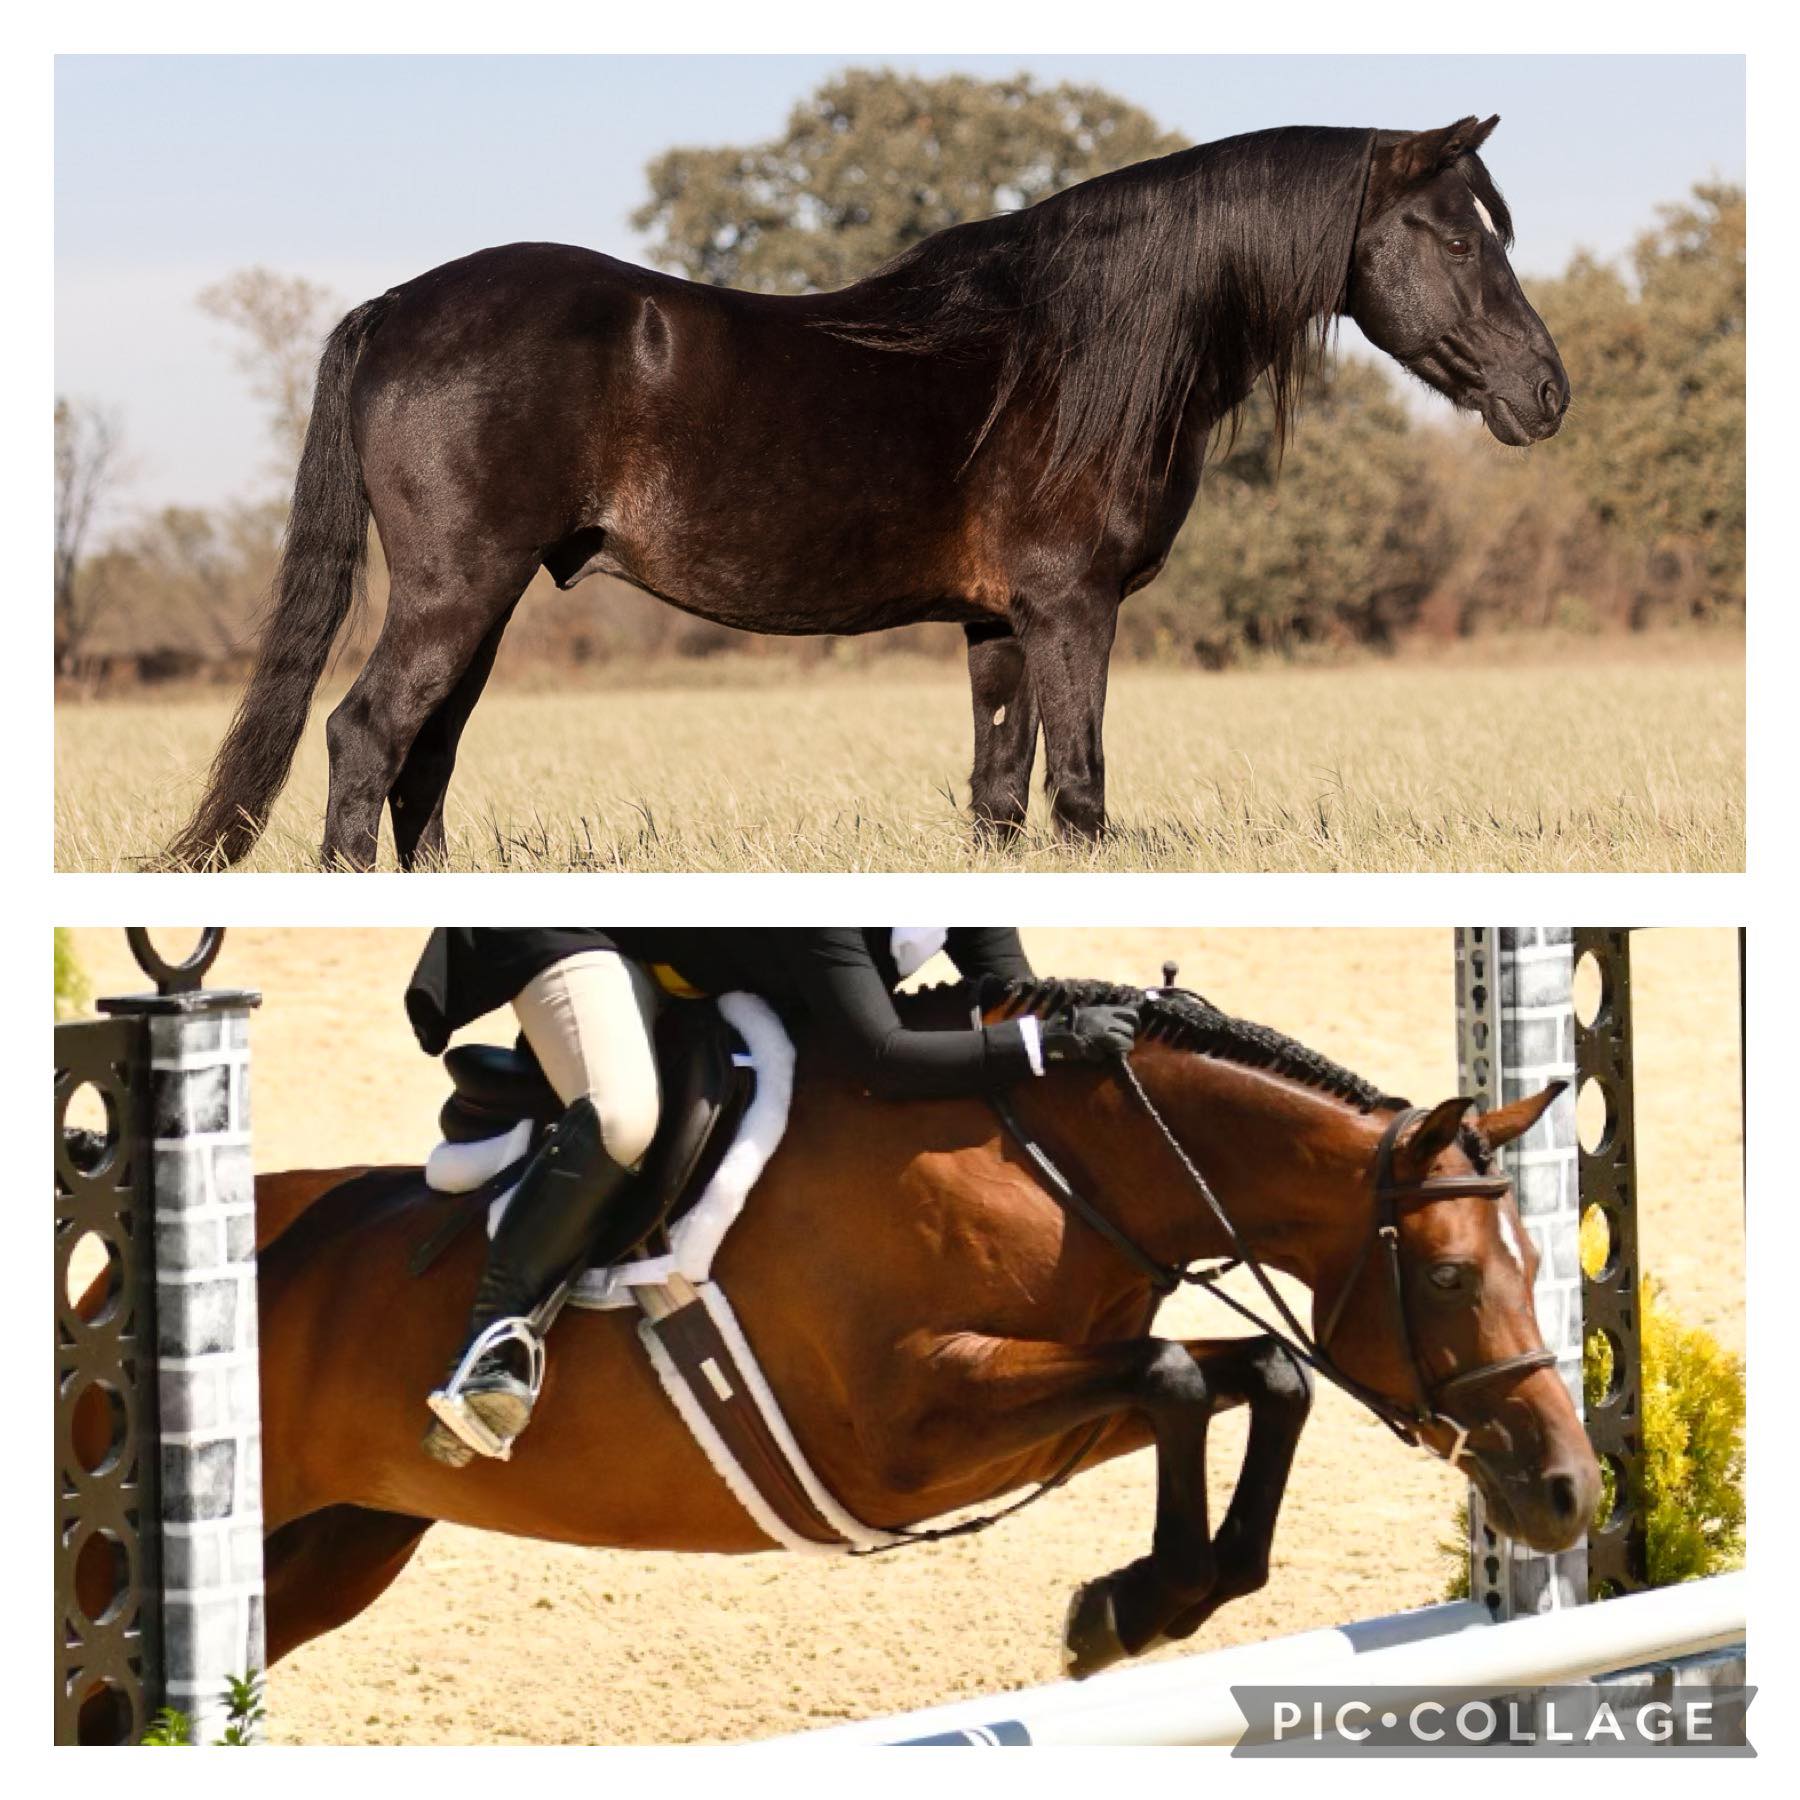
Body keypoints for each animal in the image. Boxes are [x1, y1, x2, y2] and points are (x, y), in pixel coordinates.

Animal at [130, 979, 1598, 1688]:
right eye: (1454, 1278)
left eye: (1540, 1260)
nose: (1570, 1493)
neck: (1062, 1164)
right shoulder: (910, 1432)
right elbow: (1188, 1371)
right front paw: (1126, 1608)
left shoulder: (1035, 1419)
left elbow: (1264, 1374)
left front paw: (1147, 1602)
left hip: (338, 1545)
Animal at [165, 115, 1568, 870]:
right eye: (1458, 236)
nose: (1546, 392)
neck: (1072, 345)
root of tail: (394, 306)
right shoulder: (1074, 610)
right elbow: (1082, 793)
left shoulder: (1001, 622)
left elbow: (1001, 796)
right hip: (459, 590)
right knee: (367, 739)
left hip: (487, 601)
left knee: (424, 761)